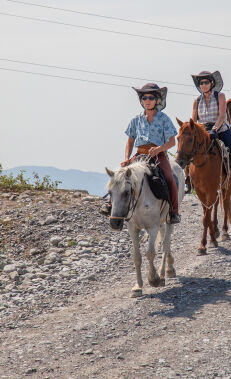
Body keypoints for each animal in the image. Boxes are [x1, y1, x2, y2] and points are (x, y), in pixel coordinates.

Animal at [106, 159, 184, 298]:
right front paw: (137, 287)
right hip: (161, 222)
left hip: (170, 219)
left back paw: (164, 273)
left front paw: (154, 279)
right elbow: (137, 257)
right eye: (110, 193)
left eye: (126, 192)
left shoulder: (152, 227)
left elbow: (150, 253)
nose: (114, 222)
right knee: (164, 240)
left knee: (166, 244)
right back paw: (169, 267)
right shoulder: (133, 229)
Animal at [175, 119, 231, 255]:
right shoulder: (201, 192)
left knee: (226, 204)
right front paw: (211, 238)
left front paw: (204, 245)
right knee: (216, 206)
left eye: (190, 139)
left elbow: (206, 217)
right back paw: (216, 229)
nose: (179, 162)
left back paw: (224, 231)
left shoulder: (210, 191)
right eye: (178, 138)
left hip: (226, 186)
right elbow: (207, 214)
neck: (203, 164)